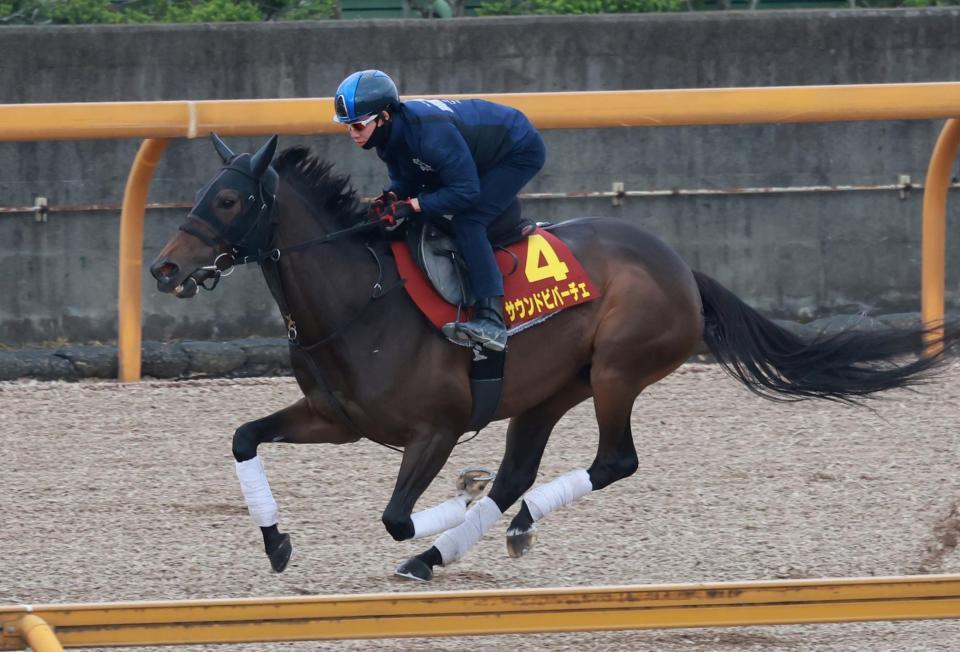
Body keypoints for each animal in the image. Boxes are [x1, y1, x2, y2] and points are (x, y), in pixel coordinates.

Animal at [150, 135, 960, 584]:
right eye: (205, 192)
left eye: (229, 201)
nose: (164, 267)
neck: (362, 298)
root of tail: (680, 267)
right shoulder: (337, 418)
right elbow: (244, 438)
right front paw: (277, 542)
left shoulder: (436, 429)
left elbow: (396, 516)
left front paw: (454, 504)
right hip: (546, 392)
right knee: (521, 474)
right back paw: (476, 537)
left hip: (616, 372)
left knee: (613, 462)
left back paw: (485, 532)